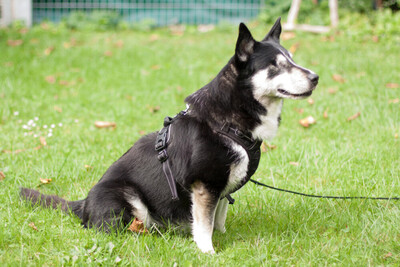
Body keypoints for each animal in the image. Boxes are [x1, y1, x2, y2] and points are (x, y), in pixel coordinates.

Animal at [20, 17, 318, 254]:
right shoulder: (204, 185)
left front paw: (224, 238)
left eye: (292, 60)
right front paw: (208, 252)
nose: (315, 77)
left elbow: (218, 218)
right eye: (277, 66)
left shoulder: (220, 188)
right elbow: (204, 224)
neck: (227, 122)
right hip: (130, 199)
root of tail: (82, 205)